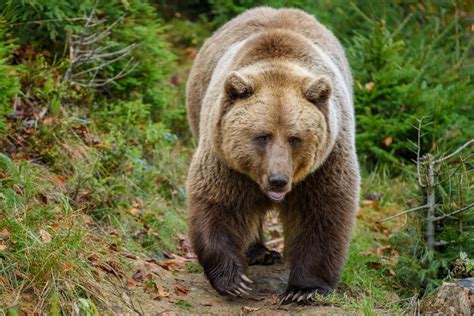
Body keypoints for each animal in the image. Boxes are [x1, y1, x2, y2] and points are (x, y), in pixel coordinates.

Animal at [185, 6, 360, 304]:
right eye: (262, 136)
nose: (278, 180)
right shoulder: (224, 159)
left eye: (295, 138)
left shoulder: (327, 159)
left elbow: (324, 210)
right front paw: (235, 280)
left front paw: (303, 289)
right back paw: (260, 252)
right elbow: (217, 202)